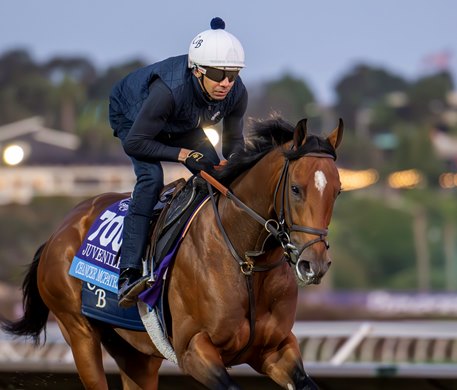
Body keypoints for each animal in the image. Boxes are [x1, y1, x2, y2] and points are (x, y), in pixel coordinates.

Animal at [0, 116, 342, 390]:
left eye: (337, 190)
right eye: (296, 189)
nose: (315, 264)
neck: (244, 261)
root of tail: (58, 233)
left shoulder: (276, 349)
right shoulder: (193, 350)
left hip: (135, 353)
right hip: (79, 331)